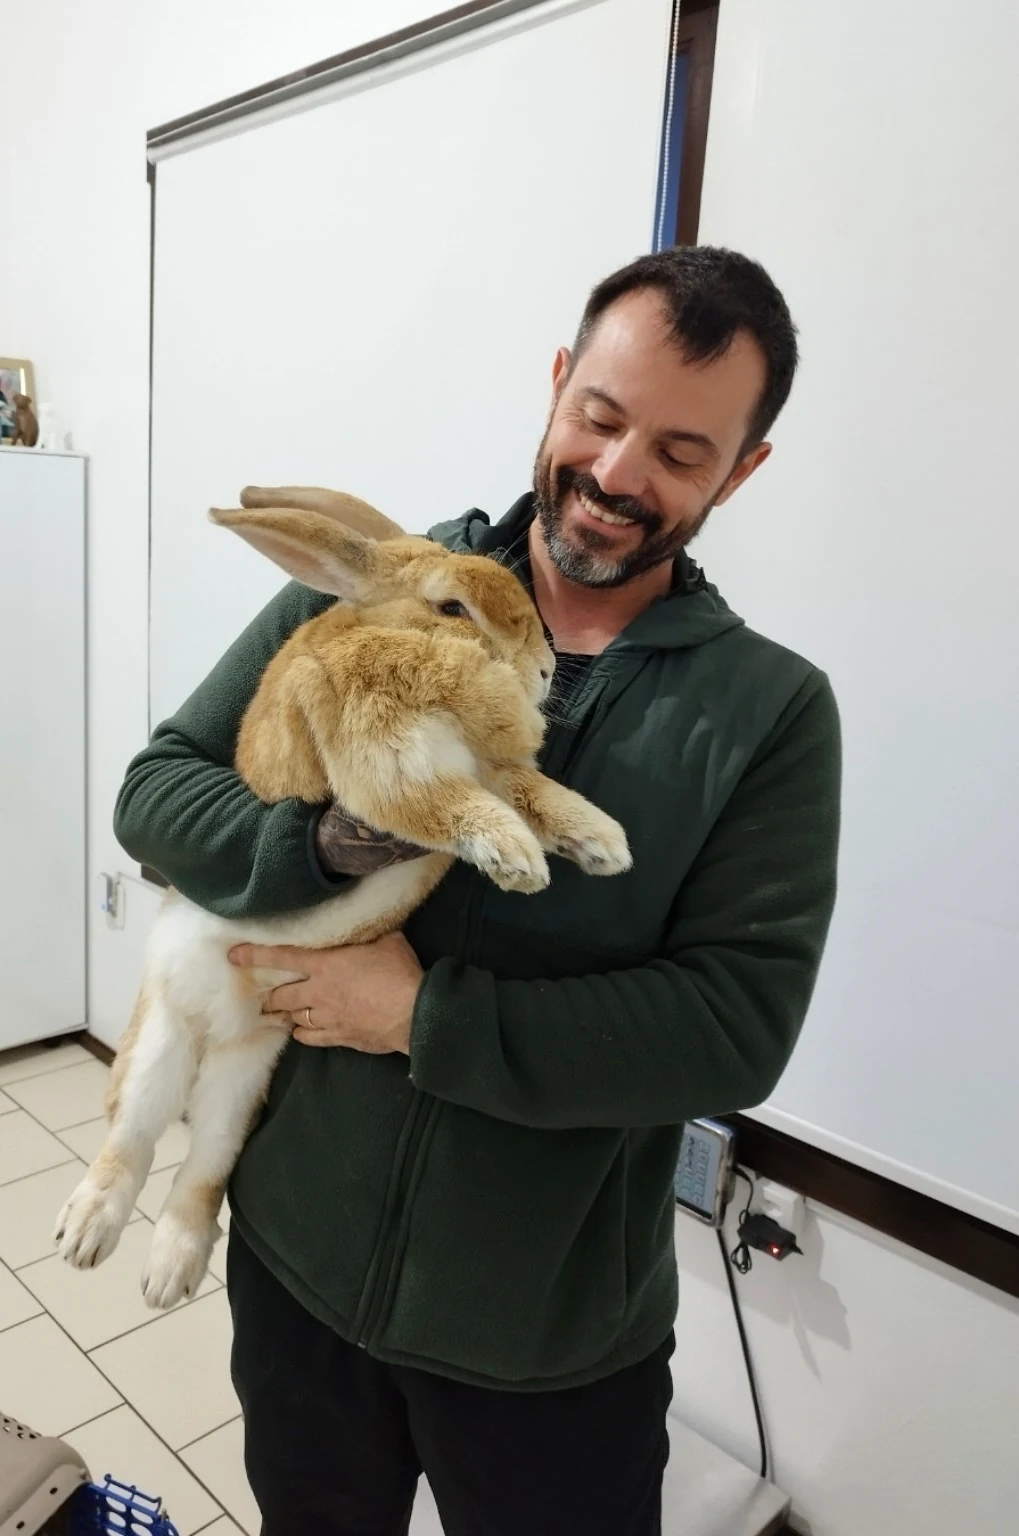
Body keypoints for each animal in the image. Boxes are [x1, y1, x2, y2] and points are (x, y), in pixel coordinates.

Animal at [55, 486, 632, 1310]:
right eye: (452, 607)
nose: (549, 670)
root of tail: (220, 1029)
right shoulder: (383, 763)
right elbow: (450, 803)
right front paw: (518, 859)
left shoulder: (492, 767)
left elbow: (535, 789)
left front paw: (602, 843)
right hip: (158, 1047)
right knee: (128, 1141)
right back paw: (86, 1236)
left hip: (245, 1079)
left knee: (203, 1170)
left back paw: (171, 1272)